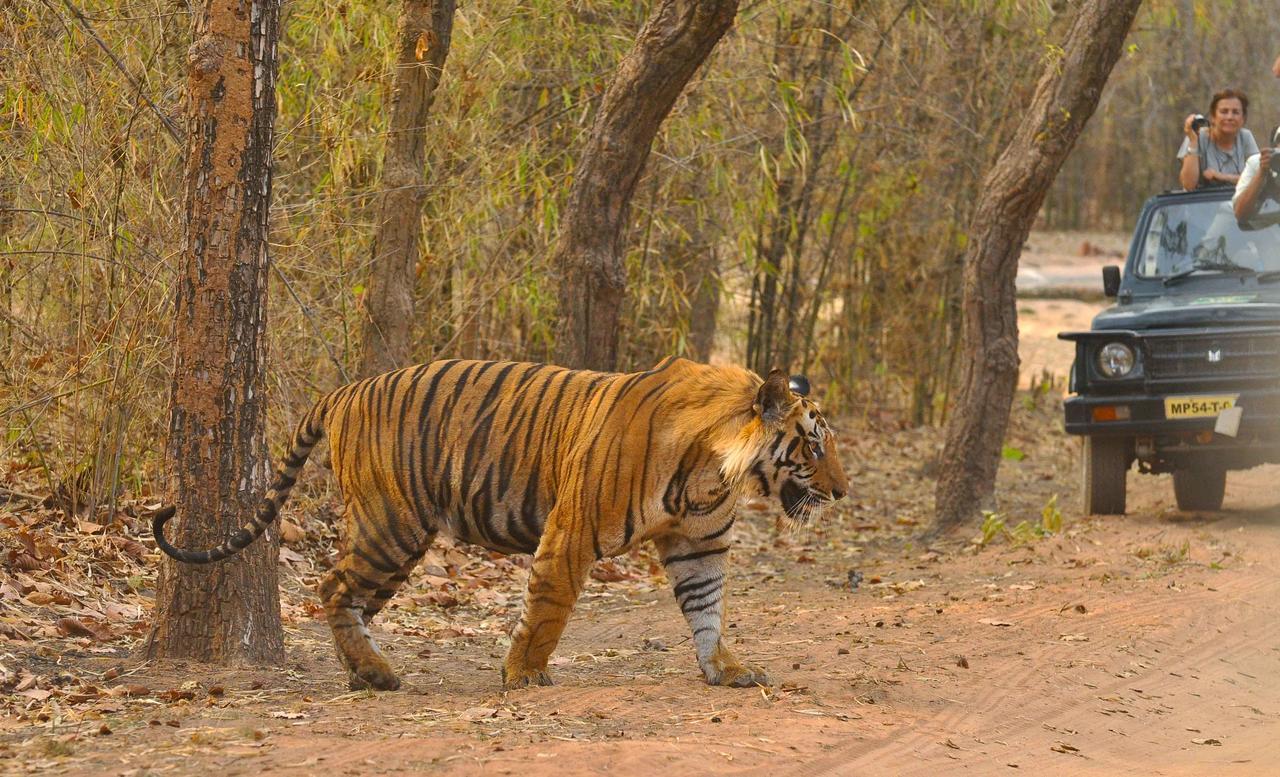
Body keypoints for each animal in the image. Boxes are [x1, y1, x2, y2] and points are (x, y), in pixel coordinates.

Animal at [152, 358, 849, 691]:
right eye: (813, 447)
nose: (842, 491)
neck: (715, 470)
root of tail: (345, 390)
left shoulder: (698, 545)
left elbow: (707, 611)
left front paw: (725, 669)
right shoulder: (571, 531)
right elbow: (548, 607)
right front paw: (524, 674)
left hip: (399, 540)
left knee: (349, 601)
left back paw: (365, 671)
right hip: (392, 524)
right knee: (331, 588)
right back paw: (374, 673)